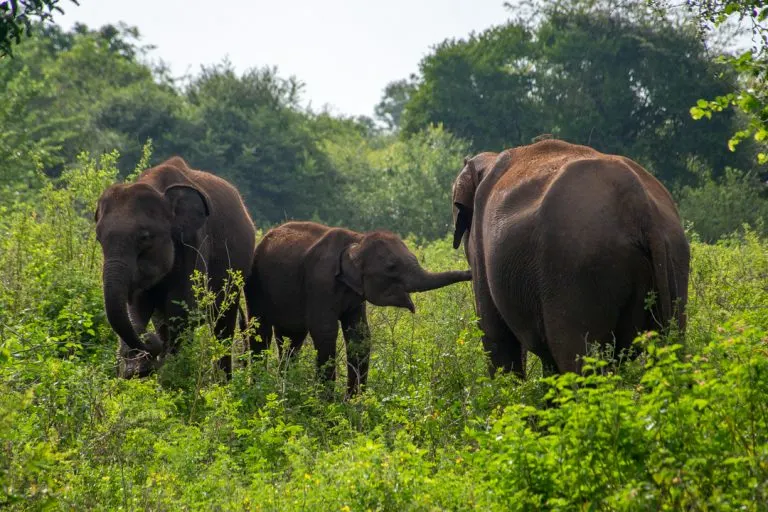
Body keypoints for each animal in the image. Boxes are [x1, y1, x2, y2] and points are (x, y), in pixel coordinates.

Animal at [94, 155, 256, 376]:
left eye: (145, 237)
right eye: (98, 239)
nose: (149, 342)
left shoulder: (193, 244)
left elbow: (179, 309)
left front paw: (168, 373)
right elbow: (138, 306)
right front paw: (137, 370)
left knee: (223, 325)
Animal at [246, 220, 474, 396]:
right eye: (391, 267)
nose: (471, 271)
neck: (357, 239)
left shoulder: (355, 295)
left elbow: (360, 336)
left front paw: (355, 403)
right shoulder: (319, 284)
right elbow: (325, 331)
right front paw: (327, 404)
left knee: (291, 338)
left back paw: (284, 387)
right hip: (256, 284)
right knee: (261, 331)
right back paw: (261, 388)